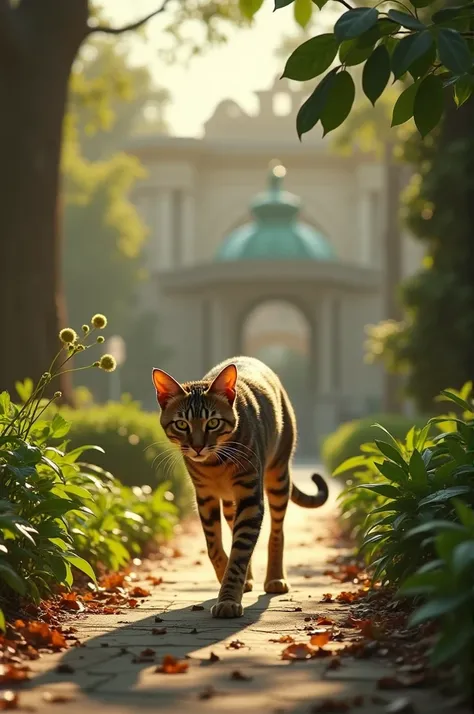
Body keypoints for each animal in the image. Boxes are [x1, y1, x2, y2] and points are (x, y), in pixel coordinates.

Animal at [153, 356, 330, 616]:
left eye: (213, 422)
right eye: (182, 424)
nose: (197, 447)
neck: (215, 463)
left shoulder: (250, 496)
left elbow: (240, 552)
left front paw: (228, 598)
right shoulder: (204, 497)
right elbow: (215, 546)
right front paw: (228, 579)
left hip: (278, 476)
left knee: (276, 531)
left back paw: (275, 577)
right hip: (230, 502)